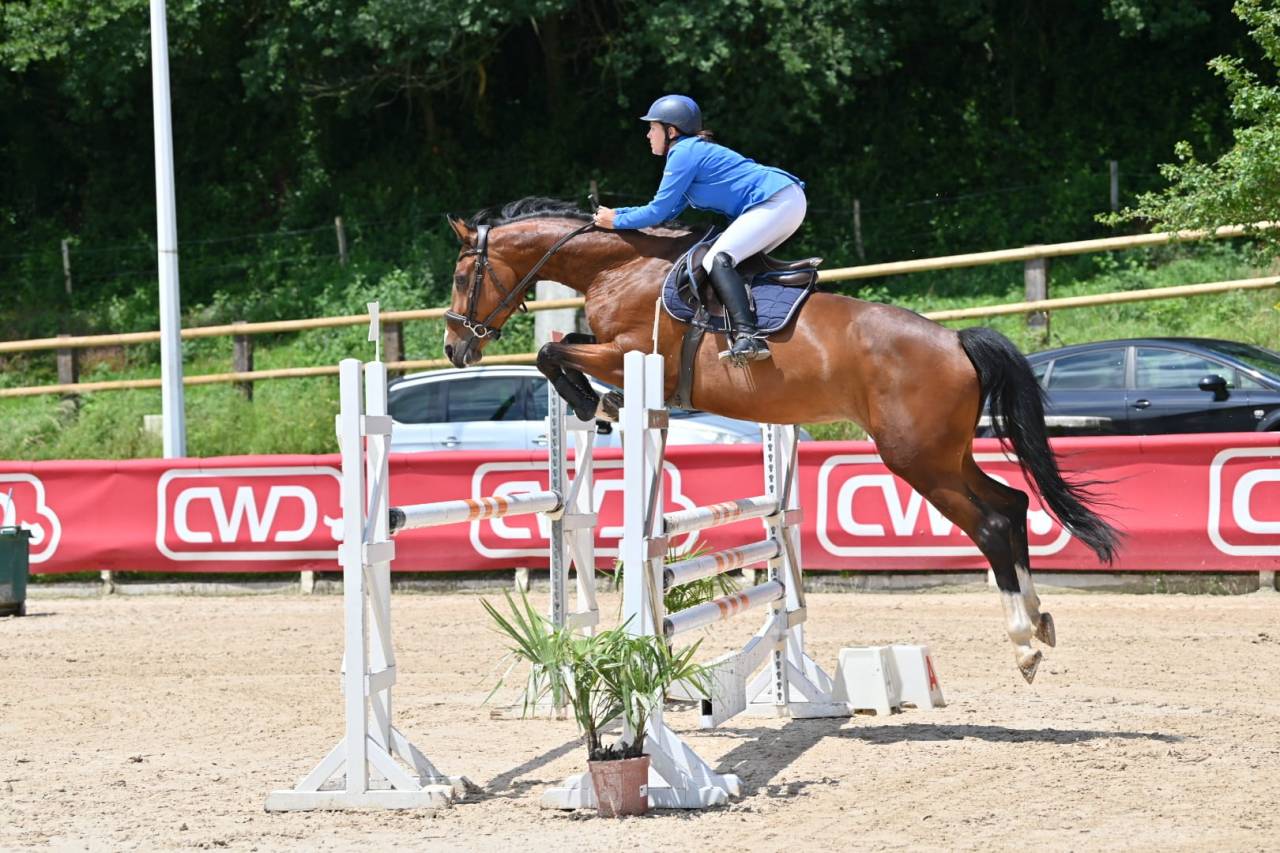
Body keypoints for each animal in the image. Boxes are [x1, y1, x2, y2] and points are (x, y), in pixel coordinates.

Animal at [442, 197, 1119, 683]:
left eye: (460, 274)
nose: (455, 347)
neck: (619, 266)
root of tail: (956, 341)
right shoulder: (613, 349)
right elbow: (558, 347)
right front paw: (597, 403)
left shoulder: (626, 352)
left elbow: (550, 351)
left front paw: (592, 401)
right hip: (944, 455)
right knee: (1014, 502)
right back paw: (1040, 621)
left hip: (916, 459)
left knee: (992, 524)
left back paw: (1023, 645)